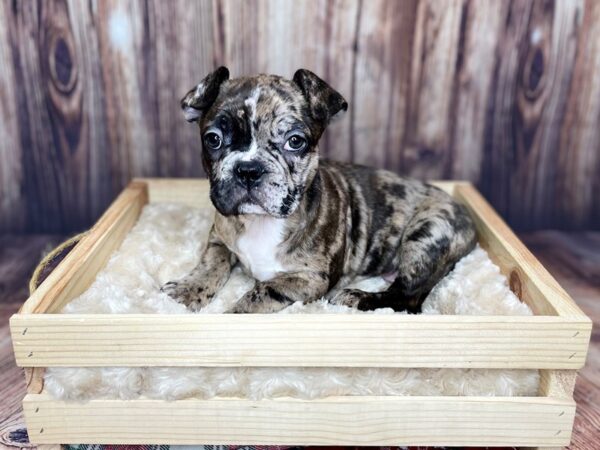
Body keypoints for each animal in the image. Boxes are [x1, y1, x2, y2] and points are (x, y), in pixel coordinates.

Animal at [161, 67, 478, 312]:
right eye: (213, 139)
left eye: (295, 141)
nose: (248, 170)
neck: (261, 223)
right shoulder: (219, 238)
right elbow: (210, 263)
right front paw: (185, 291)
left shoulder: (308, 279)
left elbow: (260, 292)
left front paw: (233, 315)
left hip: (426, 233)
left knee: (407, 297)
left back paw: (354, 297)